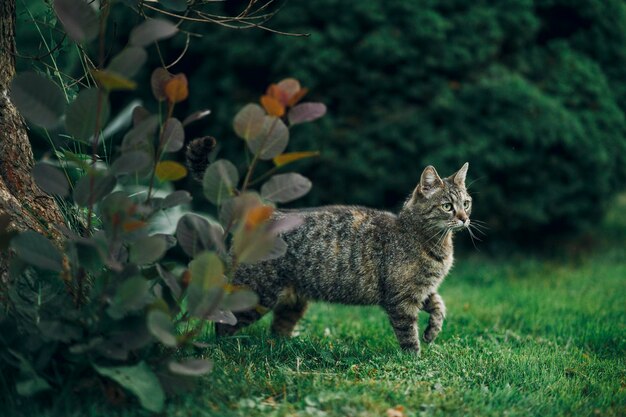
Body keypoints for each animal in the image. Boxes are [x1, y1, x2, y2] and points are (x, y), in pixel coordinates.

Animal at [188, 139, 470, 352]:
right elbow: (408, 334)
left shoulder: (421, 290)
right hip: (256, 294)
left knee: (278, 328)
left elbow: (439, 304)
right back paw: (226, 348)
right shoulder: (401, 299)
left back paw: (286, 347)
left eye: (466, 203)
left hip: (293, 302)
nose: (464, 218)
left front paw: (433, 331)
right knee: (222, 322)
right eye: (447, 206)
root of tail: (266, 213)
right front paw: (414, 359)